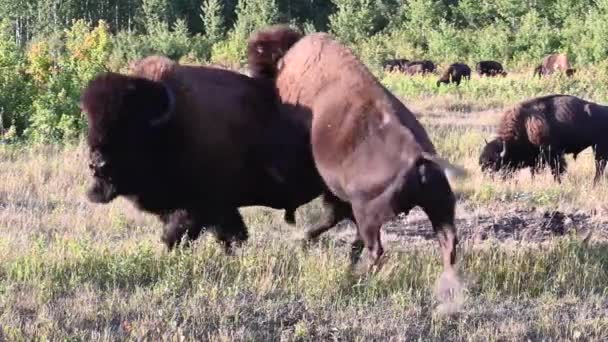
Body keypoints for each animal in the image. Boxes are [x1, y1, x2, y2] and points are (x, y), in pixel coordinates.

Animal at [83, 55, 328, 251]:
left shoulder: (203, 207)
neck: (171, 125)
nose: (98, 165)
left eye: (130, 126)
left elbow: (183, 235)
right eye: (91, 124)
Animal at [247, 25, 466, 276]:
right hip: (440, 207)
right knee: (448, 242)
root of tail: (419, 156)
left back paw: (361, 274)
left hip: (369, 213)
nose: (251, 73)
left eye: (262, 58)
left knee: (374, 247)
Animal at [480, 93, 608, 184]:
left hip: (599, 147)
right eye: (482, 163)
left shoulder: (552, 153)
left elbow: (557, 170)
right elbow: (535, 172)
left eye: (495, 164)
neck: (525, 124)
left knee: (599, 166)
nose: (487, 177)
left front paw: (559, 182)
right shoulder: (536, 159)